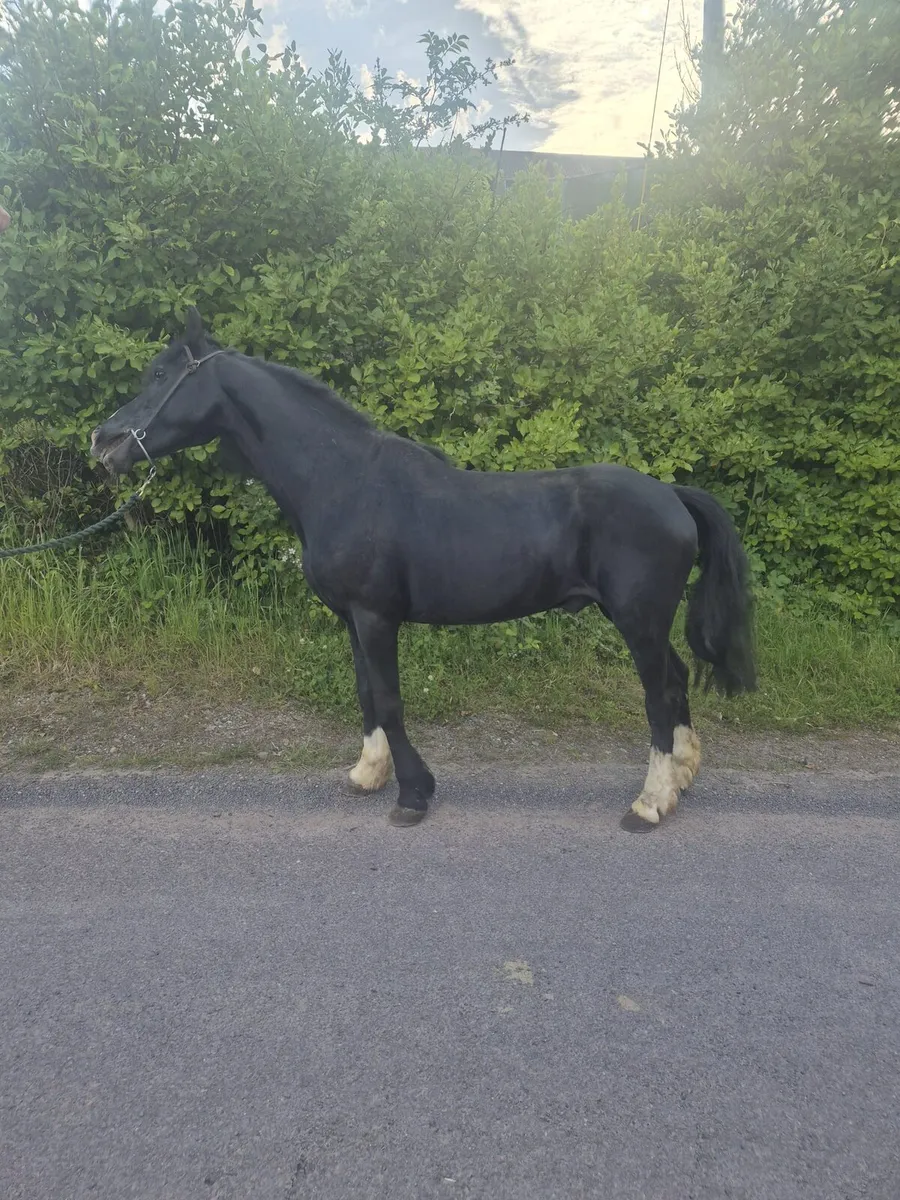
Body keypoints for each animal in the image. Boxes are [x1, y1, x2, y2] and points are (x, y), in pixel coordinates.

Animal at [91, 308, 756, 831]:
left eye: (159, 375)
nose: (105, 442)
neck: (344, 481)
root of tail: (671, 495)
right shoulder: (350, 618)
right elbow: (365, 693)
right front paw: (368, 773)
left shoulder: (375, 616)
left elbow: (388, 698)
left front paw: (413, 794)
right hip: (647, 622)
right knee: (677, 679)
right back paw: (681, 777)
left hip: (638, 619)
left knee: (660, 692)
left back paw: (650, 802)